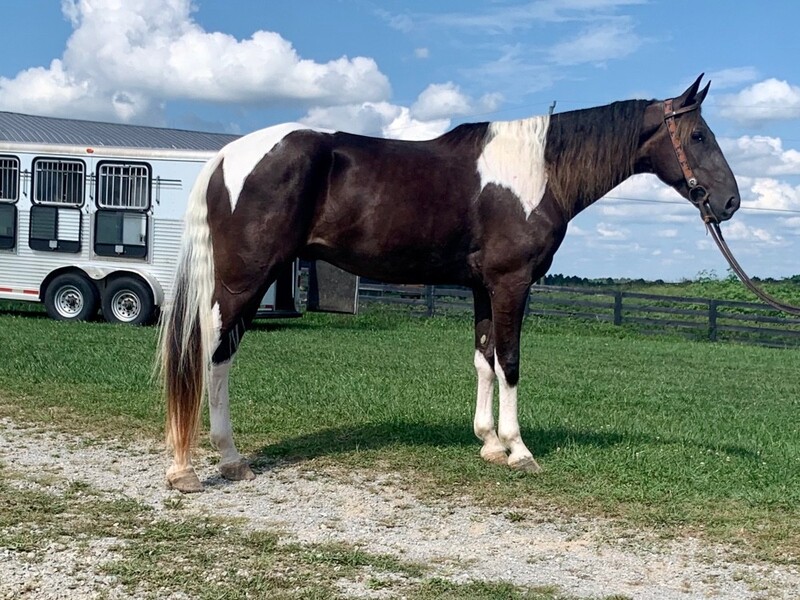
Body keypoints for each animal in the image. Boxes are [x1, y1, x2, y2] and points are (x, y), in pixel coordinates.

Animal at [159, 74, 741, 493]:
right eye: (698, 135)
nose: (730, 201)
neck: (537, 170)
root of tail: (226, 156)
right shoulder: (512, 283)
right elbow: (510, 361)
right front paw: (519, 450)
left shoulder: (484, 286)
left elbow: (484, 358)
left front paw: (489, 443)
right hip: (243, 280)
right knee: (212, 354)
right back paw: (207, 464)